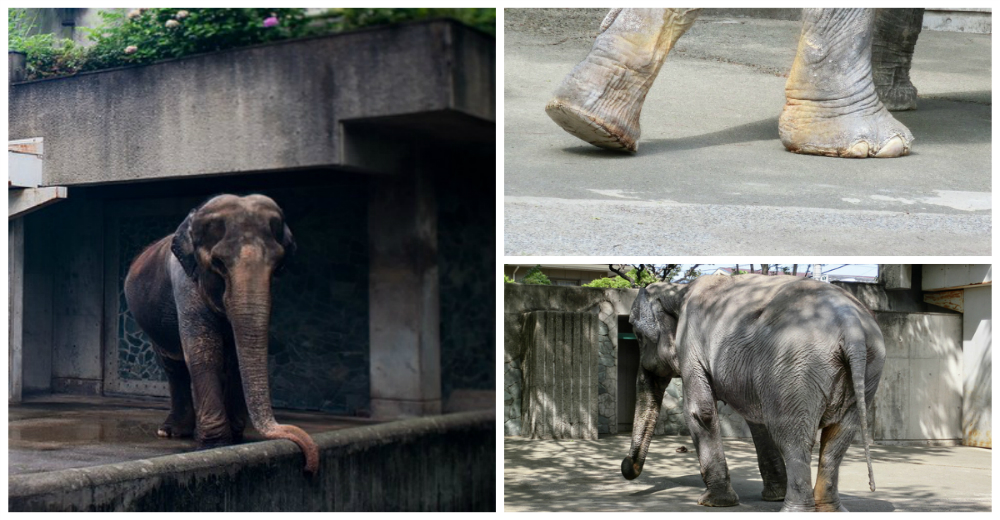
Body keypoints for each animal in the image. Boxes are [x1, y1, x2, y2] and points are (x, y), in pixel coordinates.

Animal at [125, 193, 318, 474]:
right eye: (218, 264)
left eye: (278, 266)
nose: (309, 467)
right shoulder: (185, 283)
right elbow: (204, 351)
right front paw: (215, 444)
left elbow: (236, 353)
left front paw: (235, 436)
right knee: (173, 366)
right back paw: (172, 432)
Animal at [628, 276, 888, 512]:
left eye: (638, 336)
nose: (627, 469)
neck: (678, 289)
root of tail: (851, 326)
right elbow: (757, 421)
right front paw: (772, 496)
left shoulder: (690, 345)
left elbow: (700, 412)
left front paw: (712, 503)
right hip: (867, 369)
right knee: (839, 435)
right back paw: (830, 509)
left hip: (796, 367)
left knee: (792, 435)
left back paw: (795, 510)